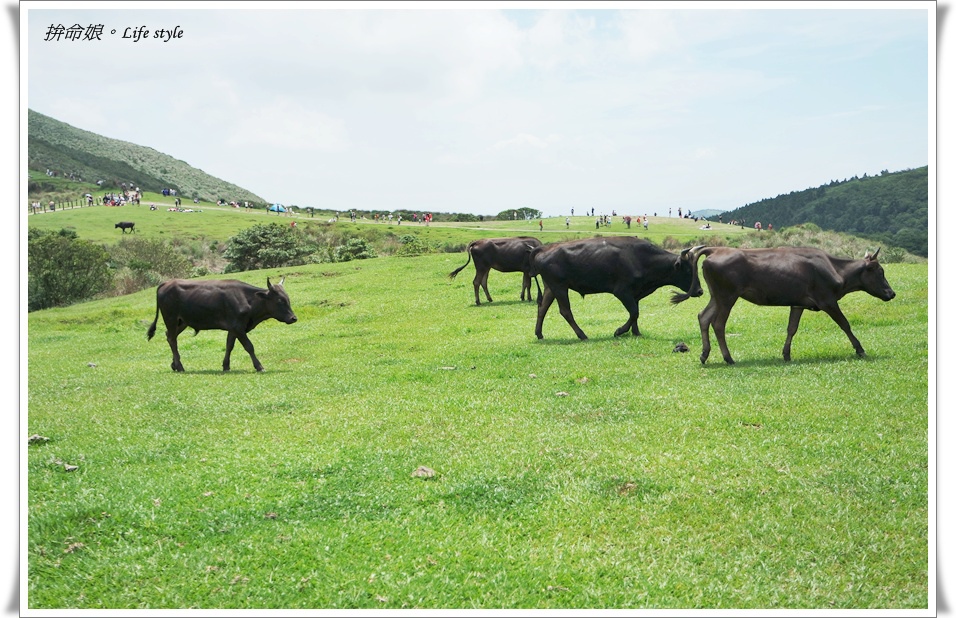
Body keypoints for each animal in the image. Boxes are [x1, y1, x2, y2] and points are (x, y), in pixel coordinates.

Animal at [144, 276, 296, 370]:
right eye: (280, 300)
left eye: (288, 299)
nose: (293, 318)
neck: (248, 299)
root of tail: (166, 283)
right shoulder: (238, 328)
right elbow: (249, 346)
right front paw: (259, 366)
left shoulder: (234, 328)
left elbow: (229, 346)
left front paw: (226, 366)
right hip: (171, 319)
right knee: (172, 339)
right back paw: (180, 367)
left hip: (182, 322)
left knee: (171, 337)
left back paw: (175, 365)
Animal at [532, 236, 704, 342]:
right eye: (688, 270)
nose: (700, 291)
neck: (643, 259)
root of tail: (545, 249)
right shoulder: (622, 291)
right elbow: (634, 312)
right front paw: (620, 331)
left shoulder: (635, 294)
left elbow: (636, 313)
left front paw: (636, 332)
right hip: (559, 287)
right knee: (565, 311)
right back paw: (582, 335)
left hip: (551, 288)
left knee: (542, 308)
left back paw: (539, 334)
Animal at [684, 245, 900, 360]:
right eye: (880, 272)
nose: (892, 293)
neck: (835, 269)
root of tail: (715, 249)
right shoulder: (827, 301)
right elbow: (845, 324)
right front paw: (860, 349)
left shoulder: (798, 304)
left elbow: (792, 328)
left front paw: (786, 354)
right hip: (727, 296)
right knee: (718, 324)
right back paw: (728, 358)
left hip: (716, 296)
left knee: (703, 317)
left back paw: (704, 354)